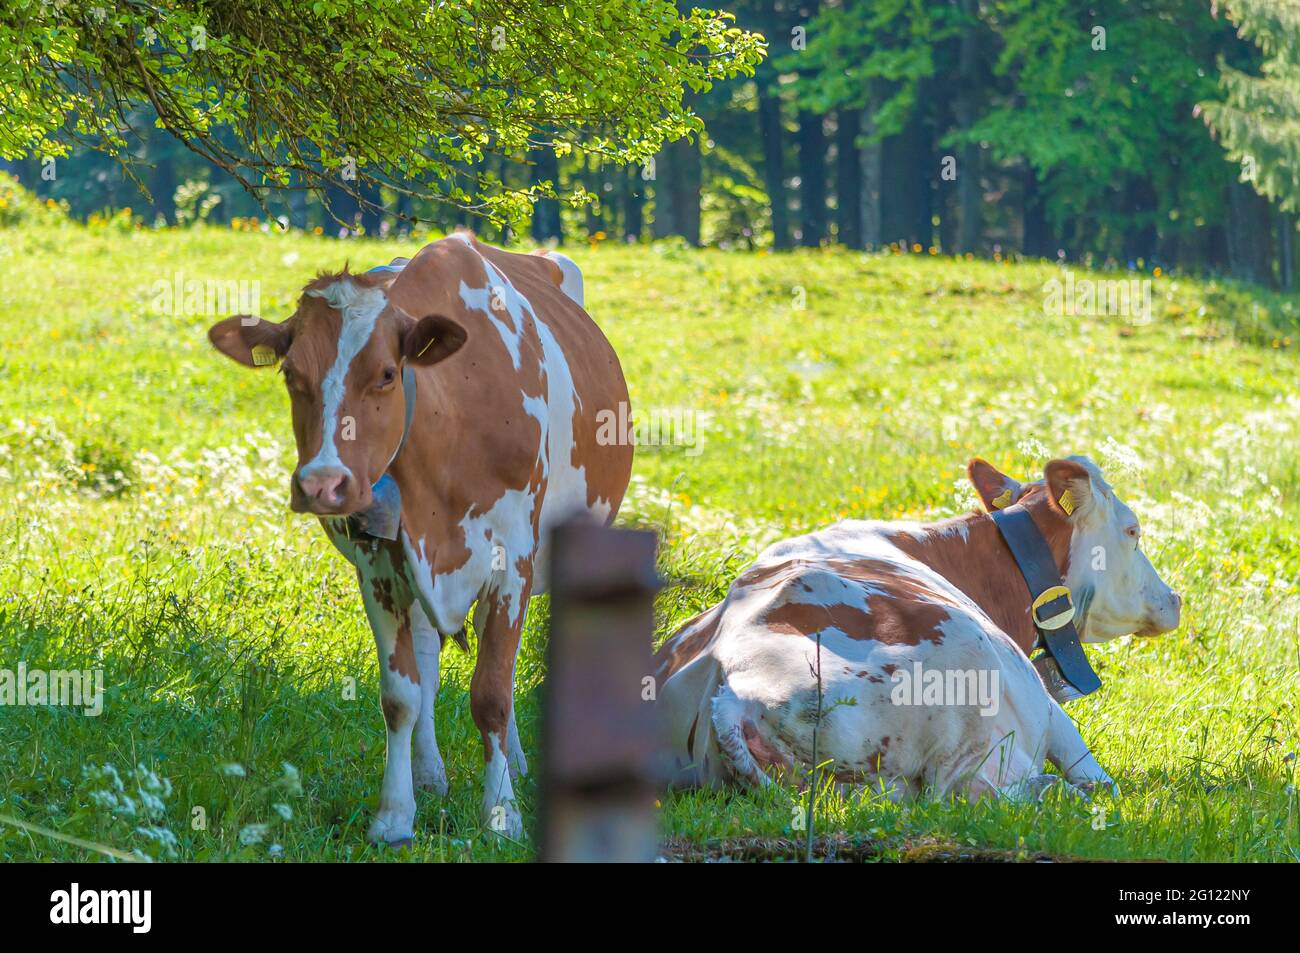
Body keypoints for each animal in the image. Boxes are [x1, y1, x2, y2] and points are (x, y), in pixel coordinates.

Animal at [207, 234, 633, 844]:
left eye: (387, 374)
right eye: (291, 375)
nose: (322, 484)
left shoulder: (513, 563)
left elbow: (492, 693)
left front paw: (501, 814)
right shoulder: (379, 568)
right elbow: (401, 696)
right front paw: (394, 815)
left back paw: (515, 763)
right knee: (429, 664)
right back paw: (431, 775)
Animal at [653, 455, 1181, 801]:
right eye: (1133, 531)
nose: (1174, 599)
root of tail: (735, 693)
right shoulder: (1047, 710)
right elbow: (1093, 767)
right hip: (969, 686)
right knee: (969, 792)